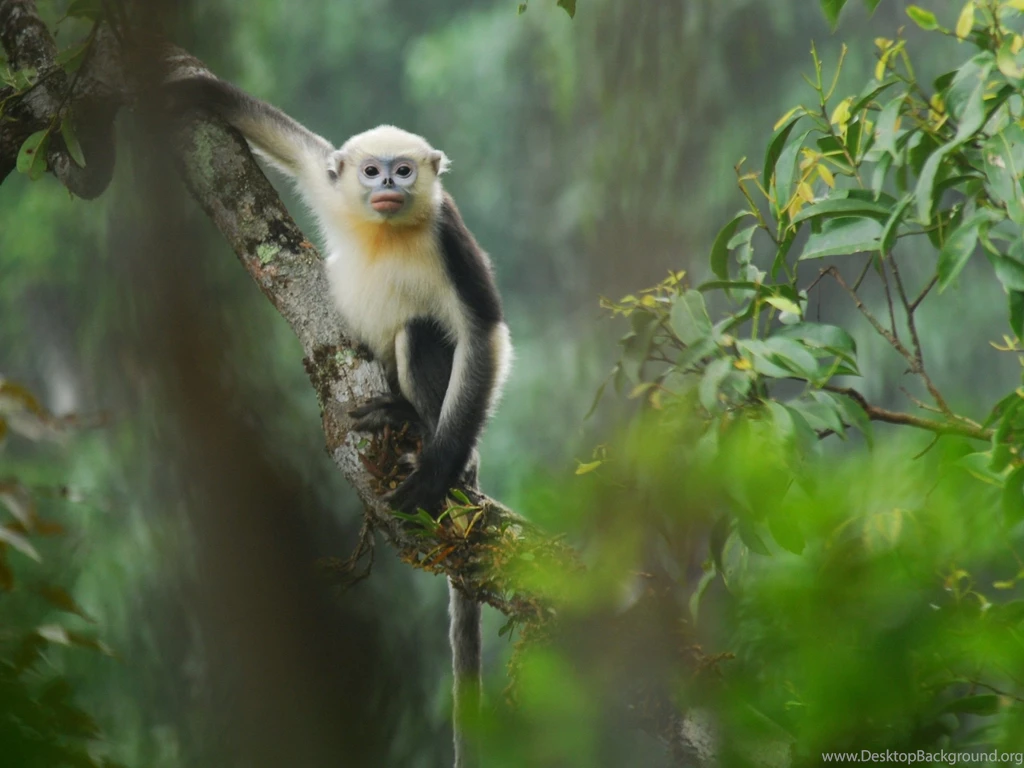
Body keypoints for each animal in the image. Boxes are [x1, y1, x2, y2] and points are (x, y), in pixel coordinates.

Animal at [167, 71, 511, 767]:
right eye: (373, 171)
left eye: (404, 171)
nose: (386, 187)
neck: (389, 230)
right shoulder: (333, 187)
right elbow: (297, 147)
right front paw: (191, 91)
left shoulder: (449, 234)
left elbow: (483, 332)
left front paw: (434, 473)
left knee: (420, 332)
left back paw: (432, 440)